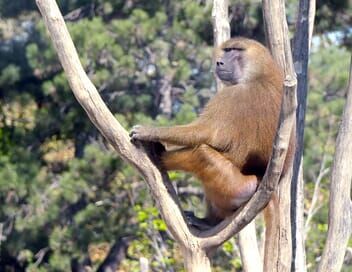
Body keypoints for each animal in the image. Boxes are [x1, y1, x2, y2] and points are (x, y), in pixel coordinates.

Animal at [131, 37, 292, 228]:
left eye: (235, 51)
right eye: (227, 50)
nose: (219, 62)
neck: (260, 71)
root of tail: (261, 181)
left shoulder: (232, 95)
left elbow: (205, 132)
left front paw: (148, 132)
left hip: (237, 186)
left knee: (201, 152)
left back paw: (158, 157)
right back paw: (208, 222)